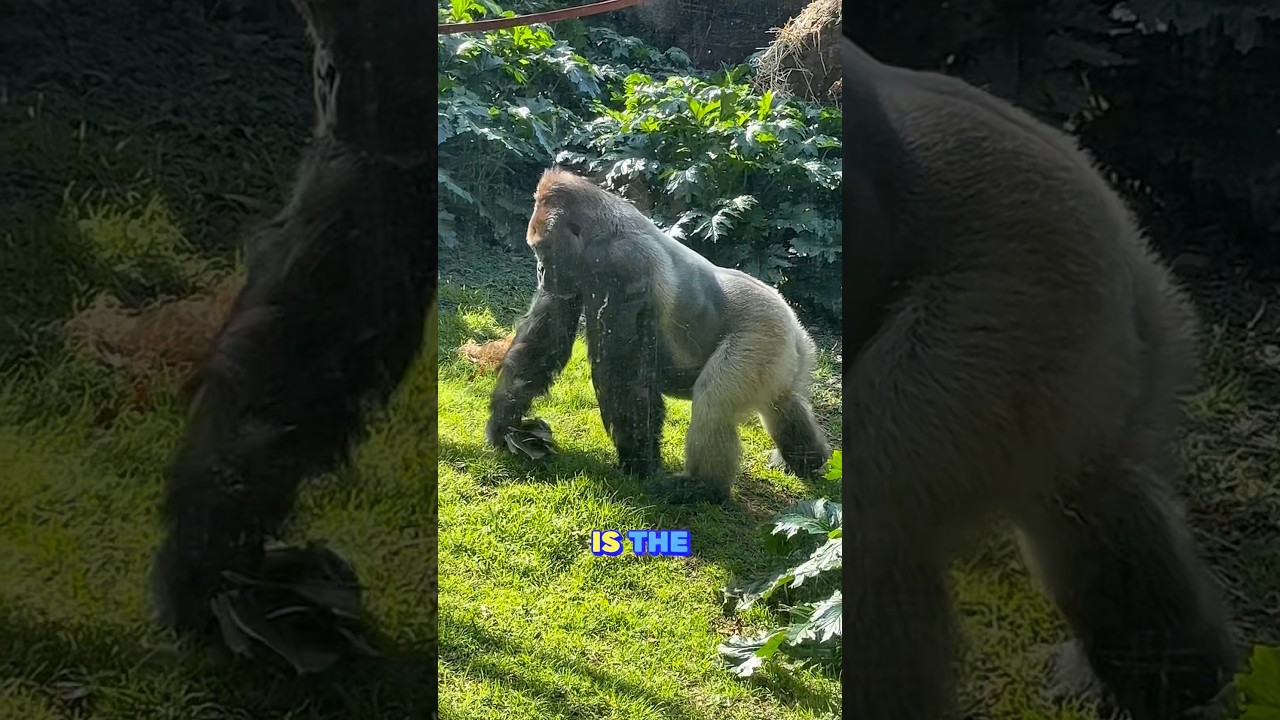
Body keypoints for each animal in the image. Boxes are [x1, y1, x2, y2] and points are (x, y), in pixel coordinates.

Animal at [484, 167, 831, 504]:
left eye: (543, 250)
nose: (541, 272)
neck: (603, 225)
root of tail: (793, 322)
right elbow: (545, 337)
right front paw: (504, 425)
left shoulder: (621, 263)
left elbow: (622, 373)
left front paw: (640, 464)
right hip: (790, 350)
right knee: (783, 402)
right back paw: (808, 460)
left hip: (763, 333)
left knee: (714, 400)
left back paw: (705, 487)